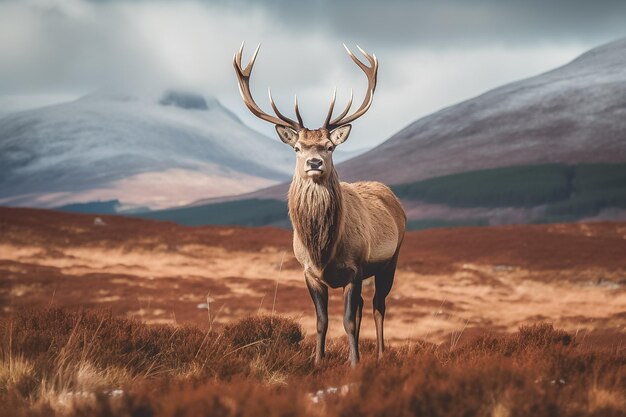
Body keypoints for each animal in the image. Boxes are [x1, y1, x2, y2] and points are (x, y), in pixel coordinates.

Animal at [233, 43, 404, 368]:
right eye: (297, 148)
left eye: (330, 146)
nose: (314, 162)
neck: (323, 248)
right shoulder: (309, 273)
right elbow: (321, 321)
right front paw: (317, 361)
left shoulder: (355, 268)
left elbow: (347, 320)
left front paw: (354, 364)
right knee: (363, 307)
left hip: (390, 260)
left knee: (378, 306)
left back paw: (379, 354)